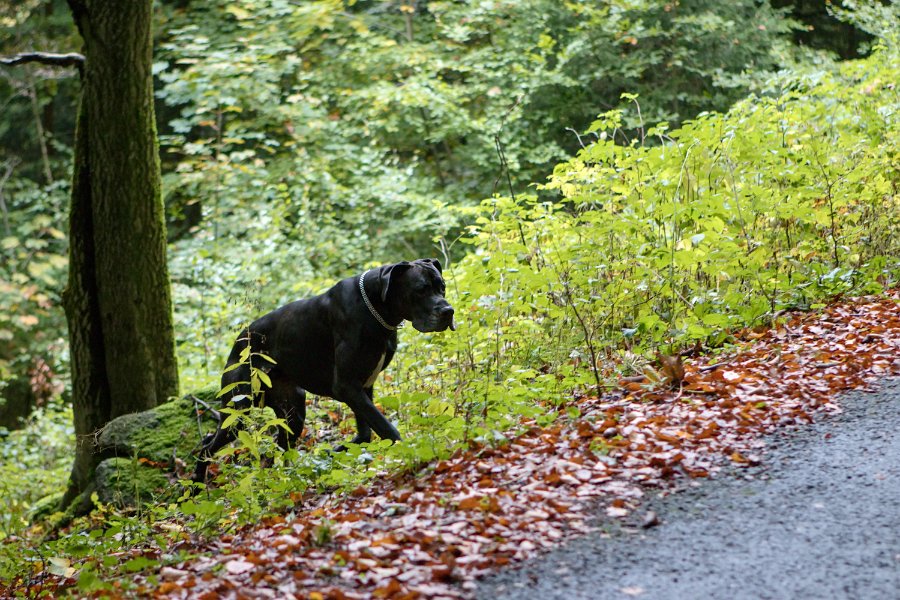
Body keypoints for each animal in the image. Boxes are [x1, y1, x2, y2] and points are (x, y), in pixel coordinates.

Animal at [193, 258, 454, 482]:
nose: (448, 311)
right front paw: (408, 451)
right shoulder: (347, 386)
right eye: (420, 289)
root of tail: (238, 342)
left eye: (442, 287)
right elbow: (385, 427)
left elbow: (365, 433)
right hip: (239, 411)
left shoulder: (363, 387)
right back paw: (196, 485)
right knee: (207, 444)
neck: (376, 308)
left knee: (274, 451)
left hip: (293, 413)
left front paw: (336, 451)